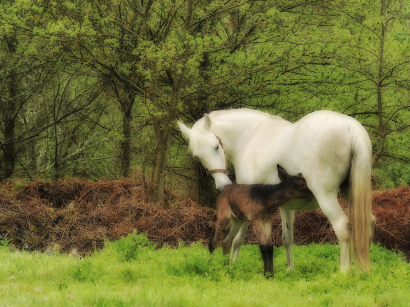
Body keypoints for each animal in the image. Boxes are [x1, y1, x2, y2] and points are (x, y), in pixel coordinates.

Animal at [178, 109, 376, 274]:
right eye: (197, 156)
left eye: (216, 146)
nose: (222, 185)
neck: (250, 137)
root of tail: (350, 128)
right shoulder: (286, 207)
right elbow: (287, 238)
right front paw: (290, 270)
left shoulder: (247, 208)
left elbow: (237, 239)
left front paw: (231, 265)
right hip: (351, 194)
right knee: (368, 222)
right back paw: (363, 268)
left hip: (326, 197)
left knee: (342, 226)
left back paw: (344, 271)